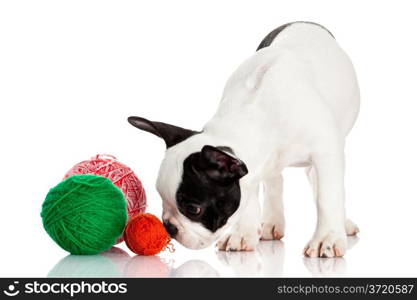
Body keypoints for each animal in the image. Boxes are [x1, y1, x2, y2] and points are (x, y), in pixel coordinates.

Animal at [128, 21, 360, 258]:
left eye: (193, 209)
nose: (169, 227)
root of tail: (303, 22)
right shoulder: (251, 170)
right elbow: (249, 199)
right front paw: (242, 234)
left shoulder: (326, 152)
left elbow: (326, 197)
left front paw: (327, 239)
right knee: (275, 180)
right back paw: (271, 223)